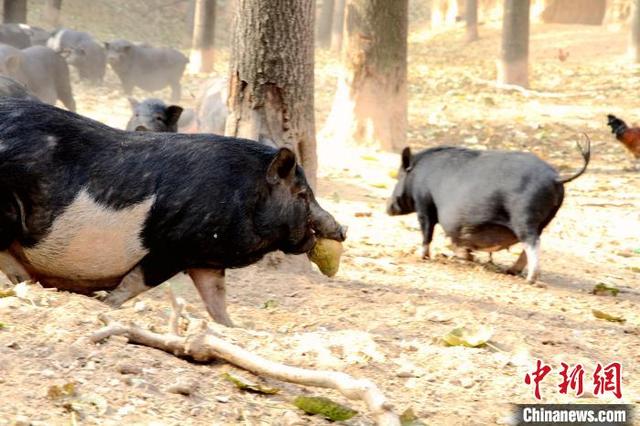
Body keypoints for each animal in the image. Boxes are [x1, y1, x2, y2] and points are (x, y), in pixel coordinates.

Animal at [0, 100, 344, 326]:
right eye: (302, 194)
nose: (342, 229)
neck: (244, 194)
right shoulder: (172, 247)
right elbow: (135, 282)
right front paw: (106, 305)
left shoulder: (205, 257)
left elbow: (216, 298)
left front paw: (232, 328)